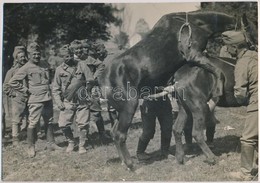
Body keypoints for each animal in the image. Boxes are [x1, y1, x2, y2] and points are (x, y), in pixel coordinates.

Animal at [97, 11, 236, 169]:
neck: (194, 21)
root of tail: (102, 79)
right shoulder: (194, 55)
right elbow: (218, 70)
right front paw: (218, 90)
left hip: (120, 110)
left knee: (114, 132)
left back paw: (124, 162)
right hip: (129, 106)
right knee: (120, 135)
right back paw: (131, 165)